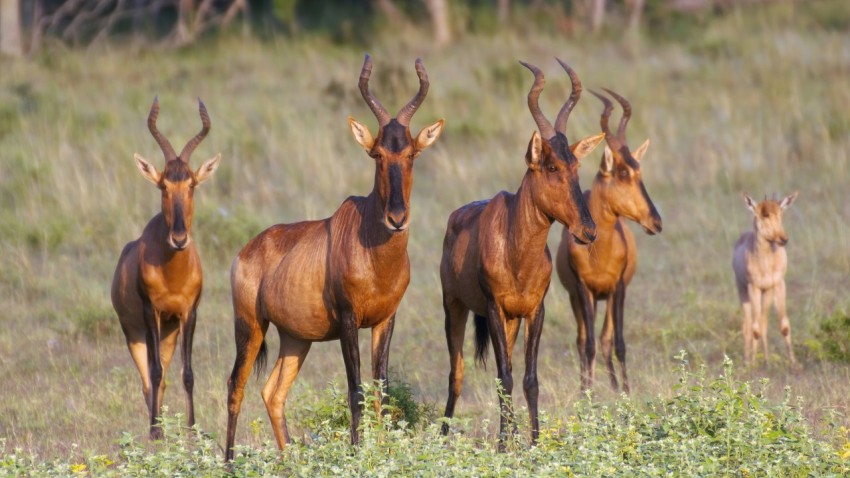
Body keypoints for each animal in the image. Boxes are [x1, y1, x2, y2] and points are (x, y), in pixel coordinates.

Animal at [109, 98, 220, 440]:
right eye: (163, 186)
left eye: (192, 184)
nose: (179, 238)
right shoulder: (150, 313)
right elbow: (155, 373)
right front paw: (156, 431)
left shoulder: (188, 314)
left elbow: (188, 373)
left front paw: (193, 429)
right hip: (135, 333)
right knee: (148, 380)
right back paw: (155, 425)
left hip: (168, 333)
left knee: (166, 377)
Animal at [225, 55, 444, 460]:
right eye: (377, 154)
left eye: (410, 153)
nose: (397, 218)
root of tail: (246, 250)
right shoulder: (347, 320)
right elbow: (355, 391)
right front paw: (358, 455)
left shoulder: (385, 320)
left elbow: (381, 391)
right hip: (250, 326)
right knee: (236, 385)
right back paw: (228, 462)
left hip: (296, 339)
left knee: (273, 392)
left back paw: (289, 460)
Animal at [438, 60, 604, 448]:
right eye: (551, 166)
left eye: (576, 165)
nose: (588, 231)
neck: (517, 251)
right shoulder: (494, 309)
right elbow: (504, 376)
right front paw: (502, 445)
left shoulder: (533, 311)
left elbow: (528, 378)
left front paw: (532, 441)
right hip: (454, 307)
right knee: (457, 372)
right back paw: (444, 434)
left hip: (512, 321)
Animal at [556, 88, 664, 394]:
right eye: (623, 172)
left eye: (639, 170)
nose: (656, 222)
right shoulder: (583, 291)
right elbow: (589, 344)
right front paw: (588, 394)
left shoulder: (618, 288)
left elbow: (618, 343)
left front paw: (625, 392)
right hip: (580, 299)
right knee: (583, 341)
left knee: (606, 338)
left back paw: (614, 386)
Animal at [732, 192, 800, 364]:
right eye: (765, 215)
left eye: (780, 213)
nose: (784, 239)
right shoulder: (753, 287)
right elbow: (754, 329)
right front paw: (752, 363)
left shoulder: (779, 284)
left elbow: (784, 326)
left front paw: (793, 363)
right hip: (742, 289)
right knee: (748, 324)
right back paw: (746, 360)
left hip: (767, 292)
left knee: (763, 322)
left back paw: (767, 360)